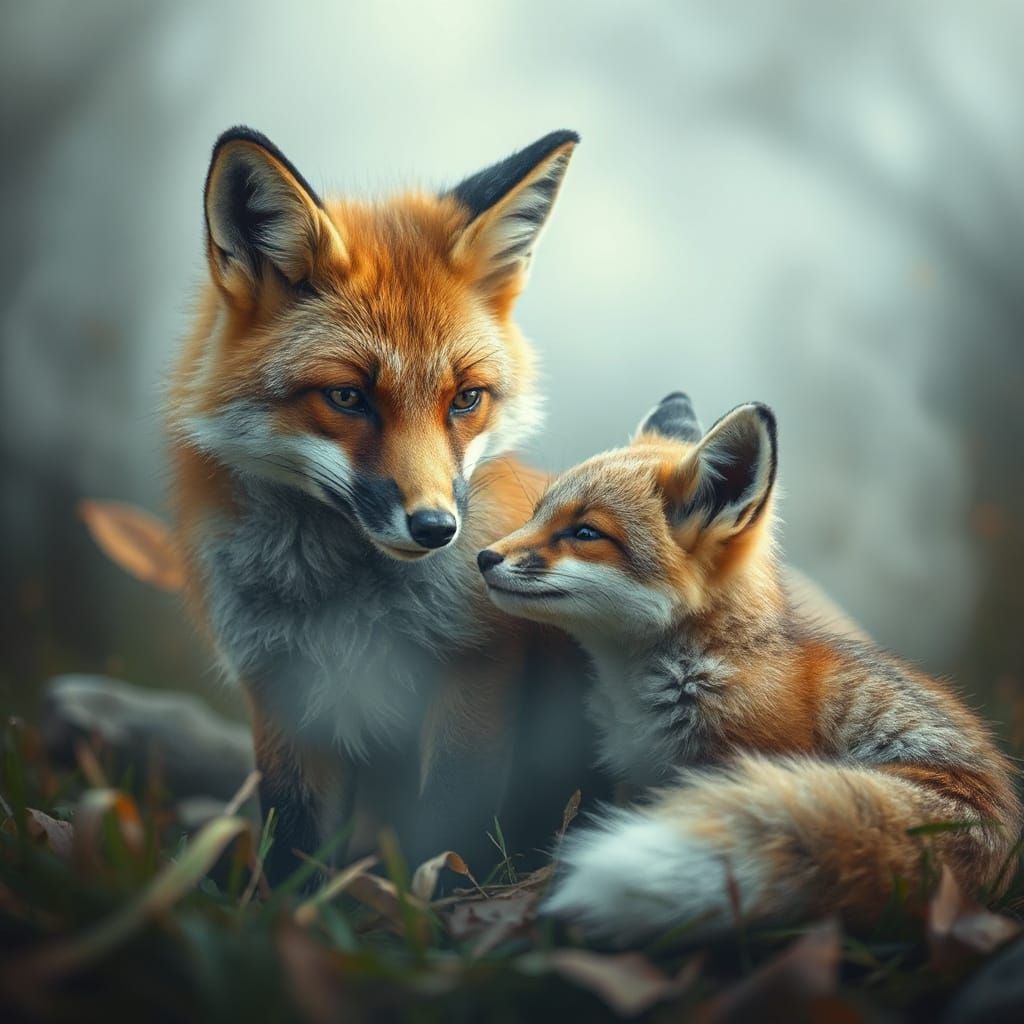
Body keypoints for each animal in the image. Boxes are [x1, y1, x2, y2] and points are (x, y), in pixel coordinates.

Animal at [166, 126, 598, 881]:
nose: (436, 528)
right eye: (347, 397)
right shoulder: (281, 690)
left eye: (466, 398)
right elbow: (293, 845)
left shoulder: (472, 676)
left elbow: (447, 832)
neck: (347, 612)